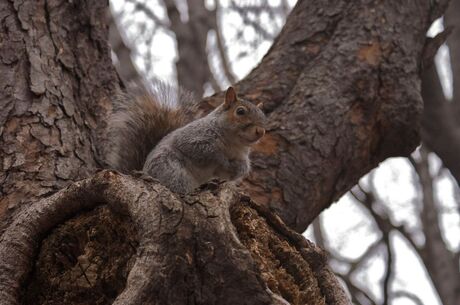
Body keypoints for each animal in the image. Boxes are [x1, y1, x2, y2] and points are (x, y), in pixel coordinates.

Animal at [108, 83, 266, 192]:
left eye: (263, 116)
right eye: (240, 111)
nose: (261, 131)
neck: (233, 143)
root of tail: (142, 170)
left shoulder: (241, 154)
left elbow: (240, 169)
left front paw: (238, 169)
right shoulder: (193, 138)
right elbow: (204, 151)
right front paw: (223, 161)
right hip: (171, 170)